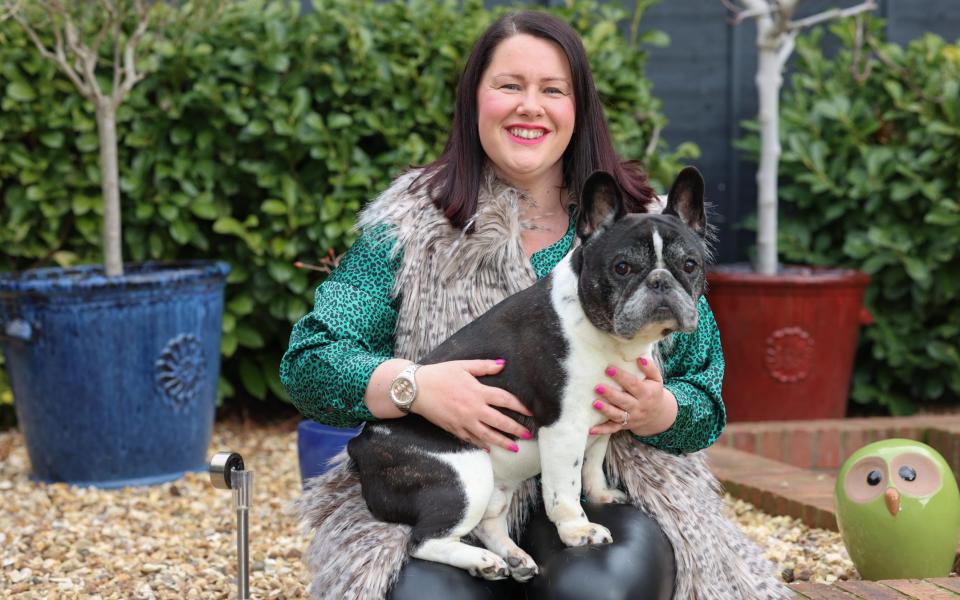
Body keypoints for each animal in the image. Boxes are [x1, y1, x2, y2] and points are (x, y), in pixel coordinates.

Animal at [348, 166, 708, 580]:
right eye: (622, 268)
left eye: (690, 265)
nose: (661, 281)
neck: (607, 335)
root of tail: (362, 444)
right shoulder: (564, 428)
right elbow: (565, 488)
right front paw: (578, 531)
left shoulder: (605, 419)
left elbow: (593, 465)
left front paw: (601, 494)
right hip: (466, 474)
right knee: (424, 540)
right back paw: (482, 561)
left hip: (495, 483)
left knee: (489, 522)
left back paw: (512, 556)